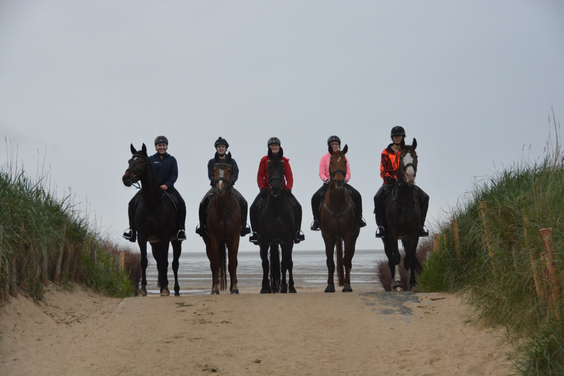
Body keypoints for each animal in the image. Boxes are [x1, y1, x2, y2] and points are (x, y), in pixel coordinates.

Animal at [121, 144, 182, 296]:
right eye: (129, 161)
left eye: (142, 162)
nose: (126, 178)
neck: (153, 202)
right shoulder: (142, 237)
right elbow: (144, 261)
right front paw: (143, 289)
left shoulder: (165, 238)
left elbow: (166, 262)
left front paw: (165, 289)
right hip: (155, 243)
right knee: (160, 262)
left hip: (176, 241)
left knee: (174, 263)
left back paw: (176, 290)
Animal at [200, 153, 240, 294]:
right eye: (214, 169)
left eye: (229, 170)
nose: (220, 188)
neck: (224, 209)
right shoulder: (214, 239)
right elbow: (216, 262)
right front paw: (215, 289)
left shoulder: (234, 238)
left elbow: (233, 262)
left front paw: (234, 288)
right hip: (207, 242)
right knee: (213, 263)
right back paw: (214, 287)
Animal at [258, 148, 298, 294]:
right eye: (268, 167)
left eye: (282, 167)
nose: (275, 187)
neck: (276, 211)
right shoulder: (264, 242)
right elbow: (265, 264)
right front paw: (265, 287)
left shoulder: (288, 241)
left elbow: (287, 263)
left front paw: (290, 287)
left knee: (283, 263)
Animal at [320, 145, 360, 292]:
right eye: (331, 162)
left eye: (345, 162)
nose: (338, 181)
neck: (337, 203)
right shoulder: (327, 236)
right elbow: (330, 262)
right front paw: (329, 286)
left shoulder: (348, 235)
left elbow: (346, 260)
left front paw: (347, 285)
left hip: (353, 237)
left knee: (348, 259)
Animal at [382, 138, 420, 290]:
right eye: (401, 158)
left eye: (416, 157)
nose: (410, 176)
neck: (404, 202)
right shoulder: (392, 232)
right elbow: (396, 257)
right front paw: (398, 283)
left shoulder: (414, 233)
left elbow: (410, 258)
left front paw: (412, 283)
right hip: (386, 238)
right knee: (390, 259)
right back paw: (393, 283)